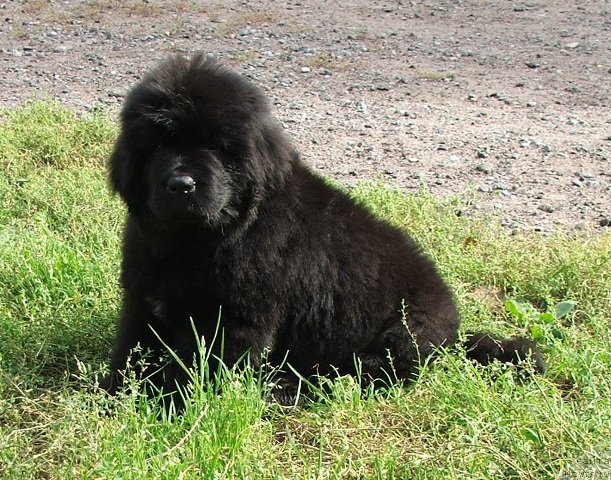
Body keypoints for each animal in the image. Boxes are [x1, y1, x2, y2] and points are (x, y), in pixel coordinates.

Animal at [100, 53, 544, 404]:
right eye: (158, 145)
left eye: (216, 146)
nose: (181, 184)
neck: (196, 240)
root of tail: (455, 334)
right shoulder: (144, 295)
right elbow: (132, 347)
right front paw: (114, 395)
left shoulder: (236, 317)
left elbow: (201, 365)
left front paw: (174, 406)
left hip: (398, 334)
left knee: (355, 376)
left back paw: (286, 389)